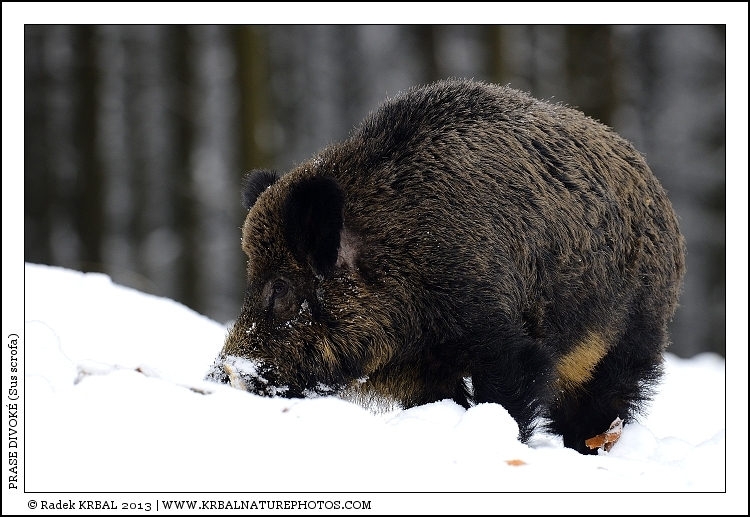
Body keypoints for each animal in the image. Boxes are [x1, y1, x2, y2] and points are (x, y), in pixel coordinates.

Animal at [205, 78, 686, 455]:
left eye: (280, 287)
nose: (218, 377)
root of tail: (657, 192)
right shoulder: (420, 370)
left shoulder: (501, 337)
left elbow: (508, 396)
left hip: (628, 338)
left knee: (603, 404)